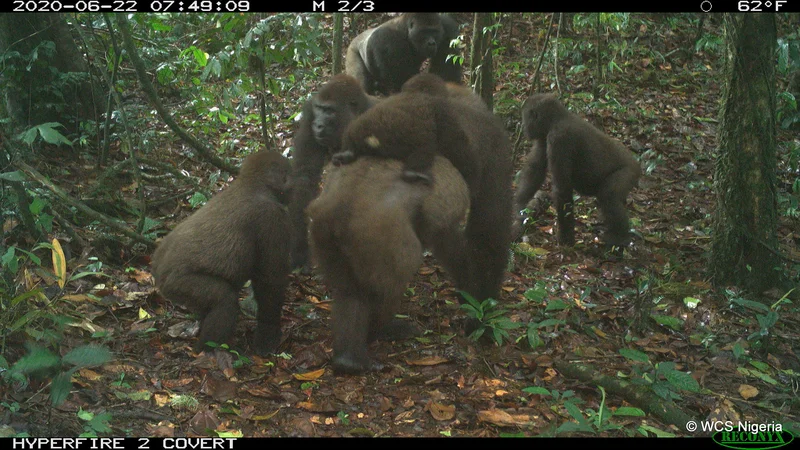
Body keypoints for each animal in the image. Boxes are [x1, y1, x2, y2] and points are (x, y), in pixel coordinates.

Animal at [152, 151, 292, 356]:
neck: (250, 182)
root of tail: (155, 271)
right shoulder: (272, 218)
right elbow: (270, 281)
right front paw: (268, 334)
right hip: (175, 283)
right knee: (224, 300)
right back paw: (209, 350)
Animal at [306, 156, 468, 374]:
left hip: (323, 233)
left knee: (351, 292)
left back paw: (348, 359)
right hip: (380, 244)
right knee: (386, 290)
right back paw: (380, 331)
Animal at [516, 93, 640, 251]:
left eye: (526, 116)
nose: (523, 127)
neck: (557, 118)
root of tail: (638, 165)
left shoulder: (559, 138)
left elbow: (562, 189)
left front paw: (566, 240)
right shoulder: (544, 137)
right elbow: (534, 170)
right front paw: (518, 206)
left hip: (629, 172)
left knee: (609, 196)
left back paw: (620, 238)